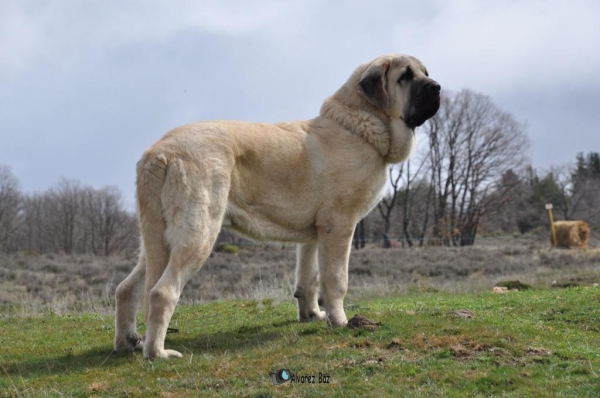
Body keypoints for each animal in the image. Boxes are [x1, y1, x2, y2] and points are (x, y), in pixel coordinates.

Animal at [115, 53, 438, 360]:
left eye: (425, 72)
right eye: (405, 76)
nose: (436, 87)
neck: (359, 126)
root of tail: (160, 153)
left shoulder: (314, 235)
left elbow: (308, 279)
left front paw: (312, 315)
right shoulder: (339, 226)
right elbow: (335, 279)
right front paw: (340, 322)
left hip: (157, 239)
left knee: (126, 288)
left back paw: (127, 342)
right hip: (199, 233)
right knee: (161, 292)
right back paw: (157, 353)